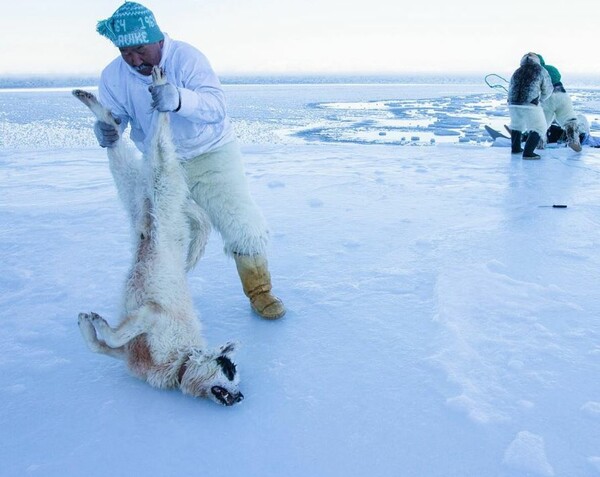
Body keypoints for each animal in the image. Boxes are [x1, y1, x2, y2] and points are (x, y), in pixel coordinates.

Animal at [72, 65, 244, 404]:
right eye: (230, 371)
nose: (241, 396)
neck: (181, 361)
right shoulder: (152, 316)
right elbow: (118, 333)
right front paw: (98, 322)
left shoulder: (127, 351)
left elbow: (99, 345)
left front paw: (88, 324)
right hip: (163, 176)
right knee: (160, 134)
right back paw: (162, 89)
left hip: (134, 186)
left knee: (116, 139)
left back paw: (94, 104)